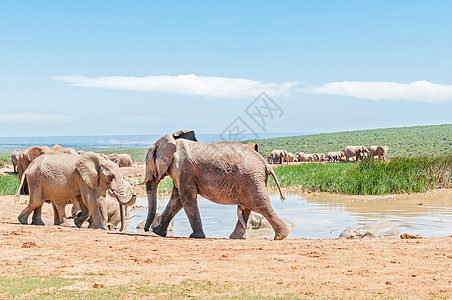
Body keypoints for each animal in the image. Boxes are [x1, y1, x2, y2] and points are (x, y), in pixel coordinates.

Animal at [143, 129, 288, 239]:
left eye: (146, 162)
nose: (146, 230)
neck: (172, 143)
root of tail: (265, 164)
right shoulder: (180, 173)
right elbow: (176, 199)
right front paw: (158, 232)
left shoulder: (183, 169)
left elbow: (186, 199)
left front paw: (196, 236)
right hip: (251, 180)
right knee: (247, 207)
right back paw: (235, 237)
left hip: (252, 179)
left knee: (260, 205)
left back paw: (281, 236)